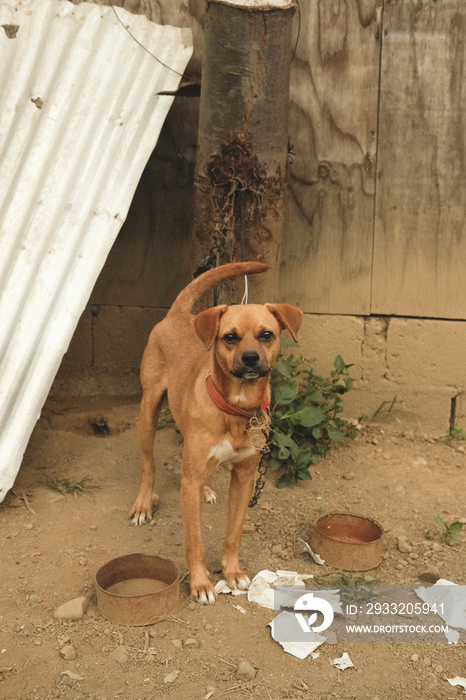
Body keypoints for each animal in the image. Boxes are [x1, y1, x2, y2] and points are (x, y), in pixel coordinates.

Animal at [129, 262, 302, 600]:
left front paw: (232, 572)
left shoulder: (245, 477)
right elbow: (195, 543)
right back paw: (144, 502)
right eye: (229, 337)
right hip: (148, 410)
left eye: (267, 335)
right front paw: (200, 583)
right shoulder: (193, 479)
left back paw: (205, 489)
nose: (251, 358)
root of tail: (178, 314)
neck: (235, 408)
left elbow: (233, 533)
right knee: (148, 464)